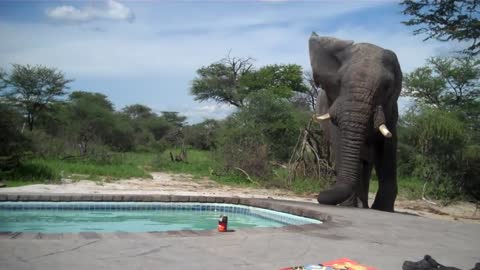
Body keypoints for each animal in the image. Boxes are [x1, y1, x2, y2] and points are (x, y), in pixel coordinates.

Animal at [308, 32, 402, 212]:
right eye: (339, 81)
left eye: (386, 87)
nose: (319, 195)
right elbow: (340, 141)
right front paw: (350, 205)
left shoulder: (391, 110)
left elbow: (387, 150)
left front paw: (383, 209)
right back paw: (359, 206)